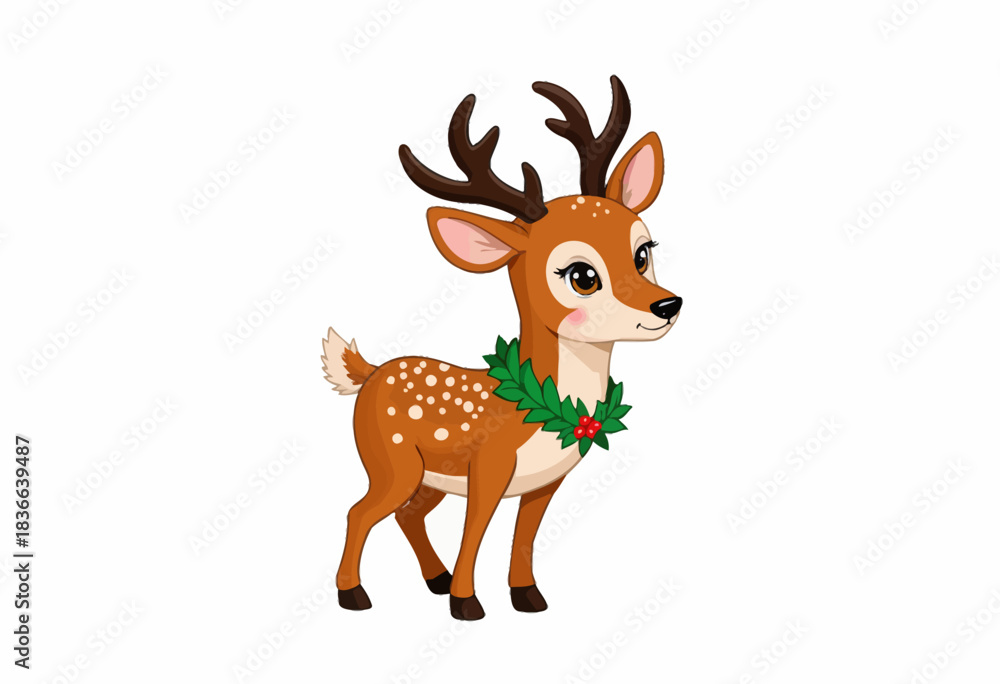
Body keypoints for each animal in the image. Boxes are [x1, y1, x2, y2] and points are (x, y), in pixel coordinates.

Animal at [321, 75, 682, 621]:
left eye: (643, 252)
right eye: (582, 275)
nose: (668, 305)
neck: (539, 412)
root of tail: (370, 372)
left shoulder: (545, 483)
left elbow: (523, 537)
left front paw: (527, 597)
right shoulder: (487, 468)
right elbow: (475, 532)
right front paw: (466, 604)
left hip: (428, 479)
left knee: (408, 516)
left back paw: (434, 580)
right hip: (393, 463)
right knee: (359, 511)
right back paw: (354, 595)